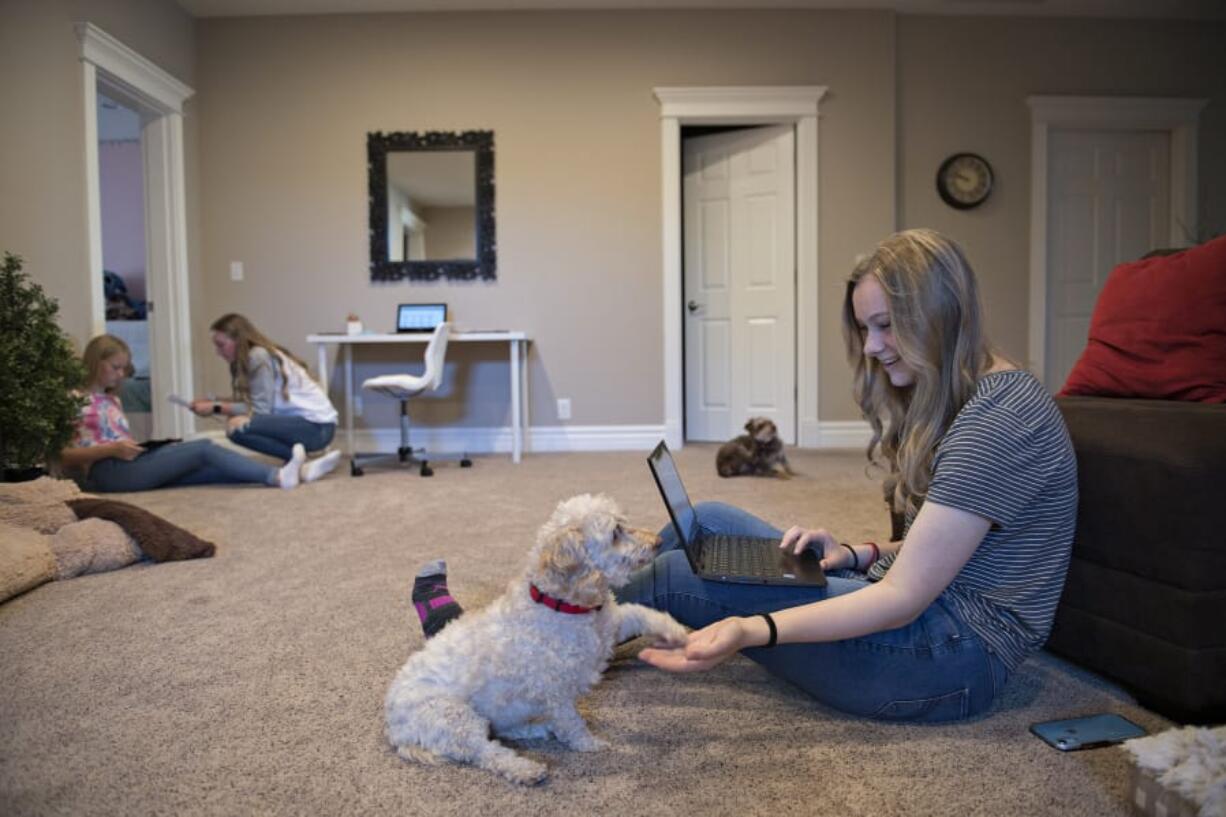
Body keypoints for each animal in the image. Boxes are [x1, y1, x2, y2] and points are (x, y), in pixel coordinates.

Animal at [384, 490, 691, 785]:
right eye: (615, 533)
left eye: (624, 523)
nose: (659, 541)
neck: (563, 604)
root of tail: (395, 728)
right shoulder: (555, 691)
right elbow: (572, 723)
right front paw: (589, 744)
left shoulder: (610, 627)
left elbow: (641, 613)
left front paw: (677, 634)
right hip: (455, 718)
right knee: (486, 752)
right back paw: (525, 769)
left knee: (504, 731)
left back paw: (539, 728)